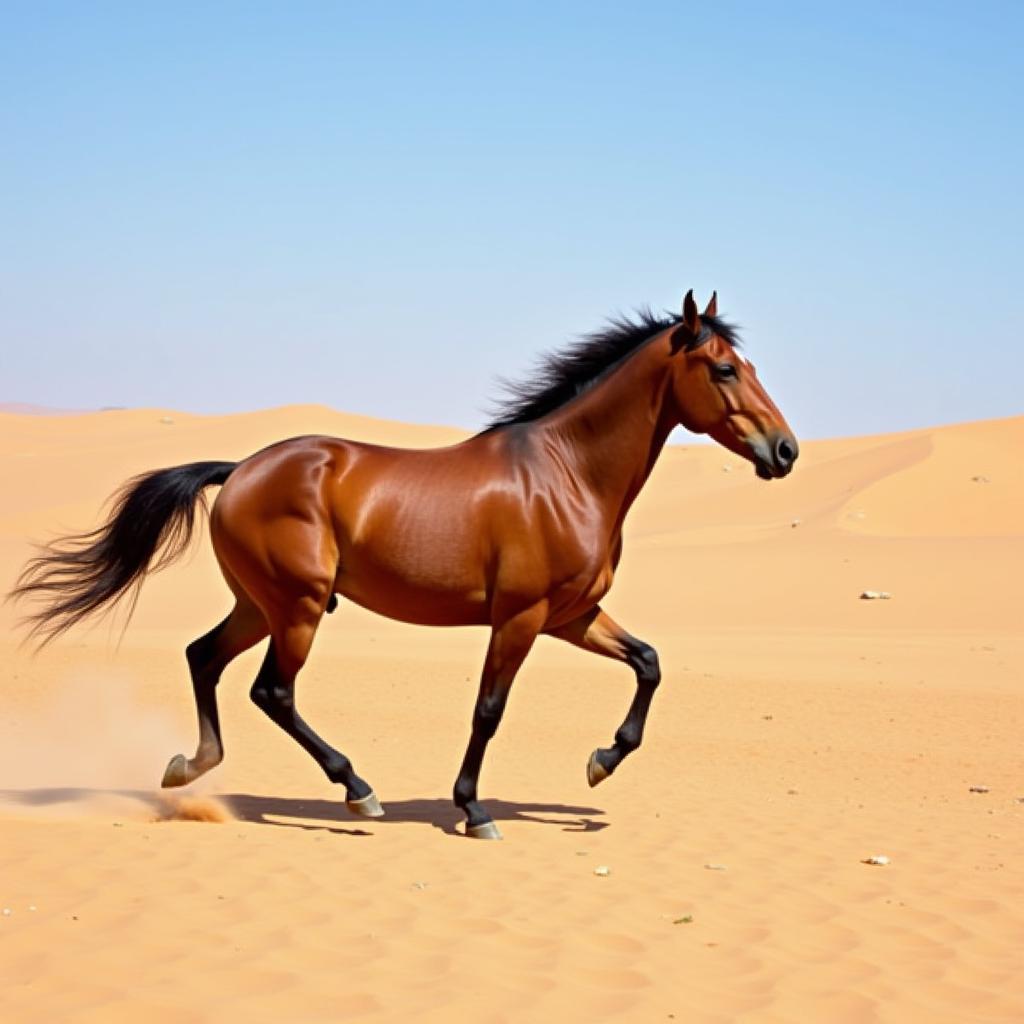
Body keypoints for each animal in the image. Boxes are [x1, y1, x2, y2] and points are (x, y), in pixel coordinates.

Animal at [14, 290, 798, 839]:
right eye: (724, 369)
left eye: (753, 366)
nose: (785, 451)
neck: (568, 473)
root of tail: (240, 470)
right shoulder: (520, 618)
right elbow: (488, 710)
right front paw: (473, 810)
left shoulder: (572, 616)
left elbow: (648, 663)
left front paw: (601, 764)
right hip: (298, 608)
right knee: (272, 691)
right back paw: (357, 790)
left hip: (260, 604)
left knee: (203, 656)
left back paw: (189, 768)